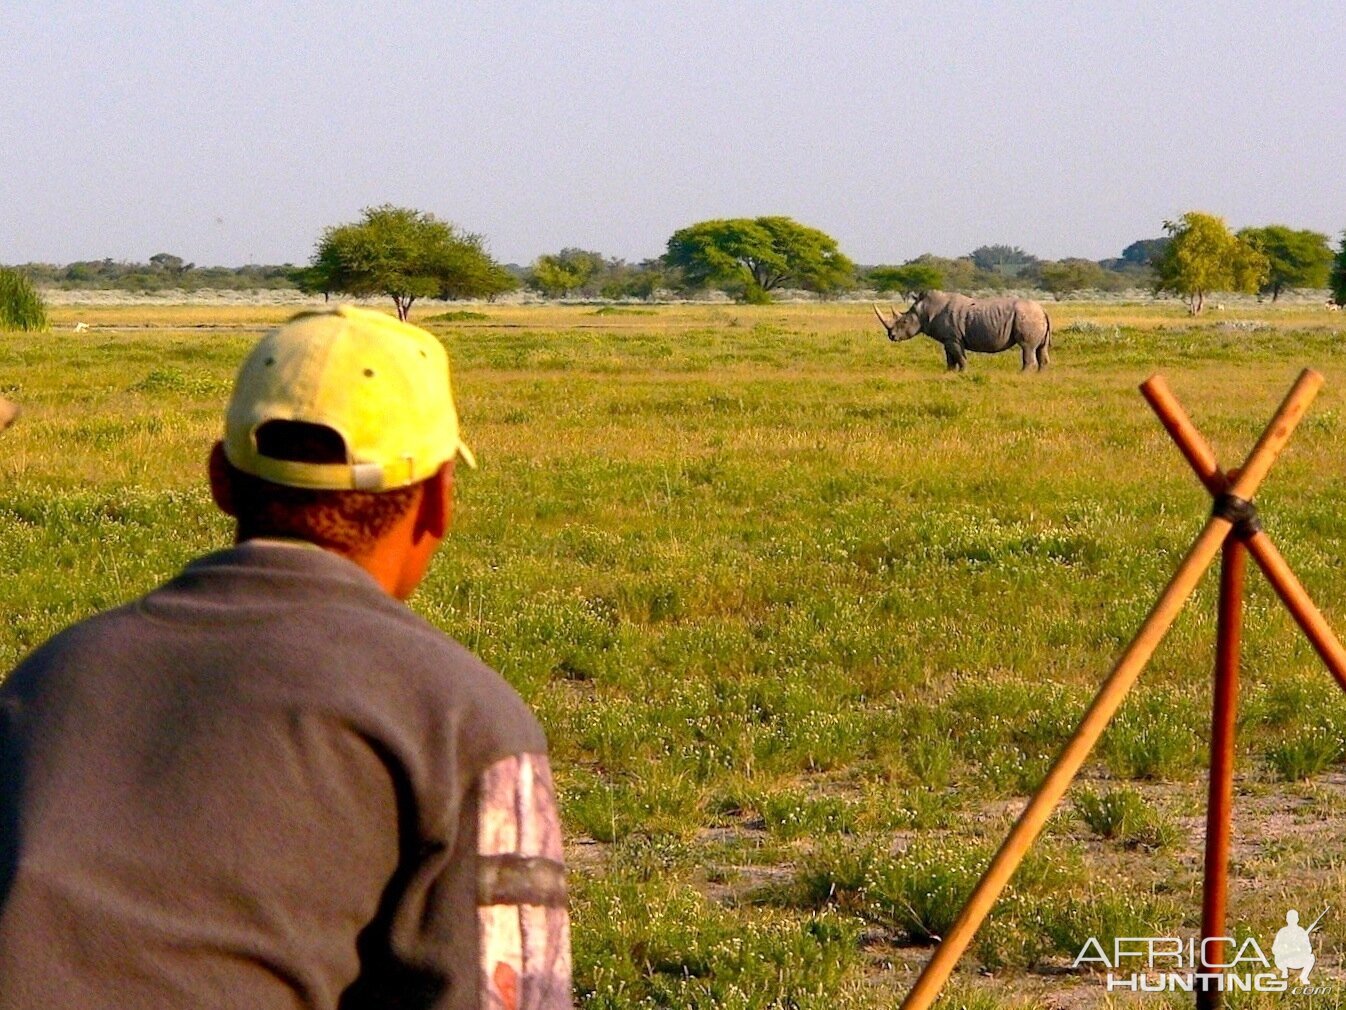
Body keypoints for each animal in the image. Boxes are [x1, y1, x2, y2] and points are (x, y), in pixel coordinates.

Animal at [877, 290, 1055, 374]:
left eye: (904, 322)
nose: (891, 336)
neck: (924, 312)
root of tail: (1043, 310)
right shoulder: (948, 339)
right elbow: (950, 358)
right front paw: (948, 373)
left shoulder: (953, 338)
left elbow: (959, 356)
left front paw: (963, 372)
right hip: (1034, 317)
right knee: (1040, 349)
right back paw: (1040, 376)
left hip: (1027, 317)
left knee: (1027, 347)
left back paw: (1022, 375)